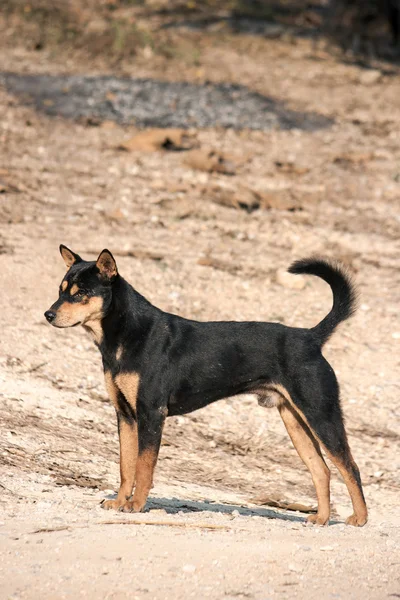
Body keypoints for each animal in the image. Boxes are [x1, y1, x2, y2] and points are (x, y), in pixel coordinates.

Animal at [45, 244, 368, 524]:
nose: (48, 314)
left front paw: (136, 505)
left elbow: (144, 467)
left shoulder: (152, 413)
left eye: (82, 293)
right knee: (321, 469)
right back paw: (322, 518)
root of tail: (311, 337)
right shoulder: (125, 415)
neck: (127, 333)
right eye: (60, 291)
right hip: (295, 420)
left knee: (349, 466)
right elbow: (126, 466)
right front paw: (120, 501)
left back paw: (360, 519)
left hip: (321, 415)